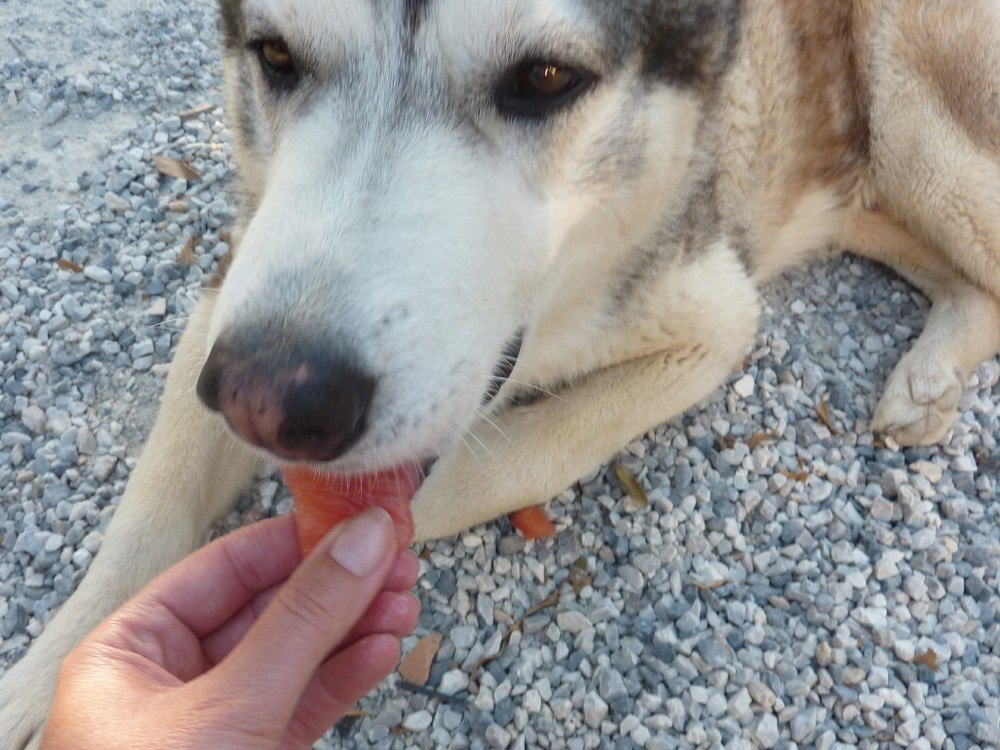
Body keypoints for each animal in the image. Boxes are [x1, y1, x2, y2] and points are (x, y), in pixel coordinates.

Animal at [1, 0, 1000, 748]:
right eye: (277, 56)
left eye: (546, 78)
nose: (268, 399)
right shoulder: (233, 295)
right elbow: (151, 512)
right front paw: (57, 681)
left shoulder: (714, 321)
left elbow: (504, 462)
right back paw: (930, 375)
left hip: (909, 117)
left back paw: (930, 375)